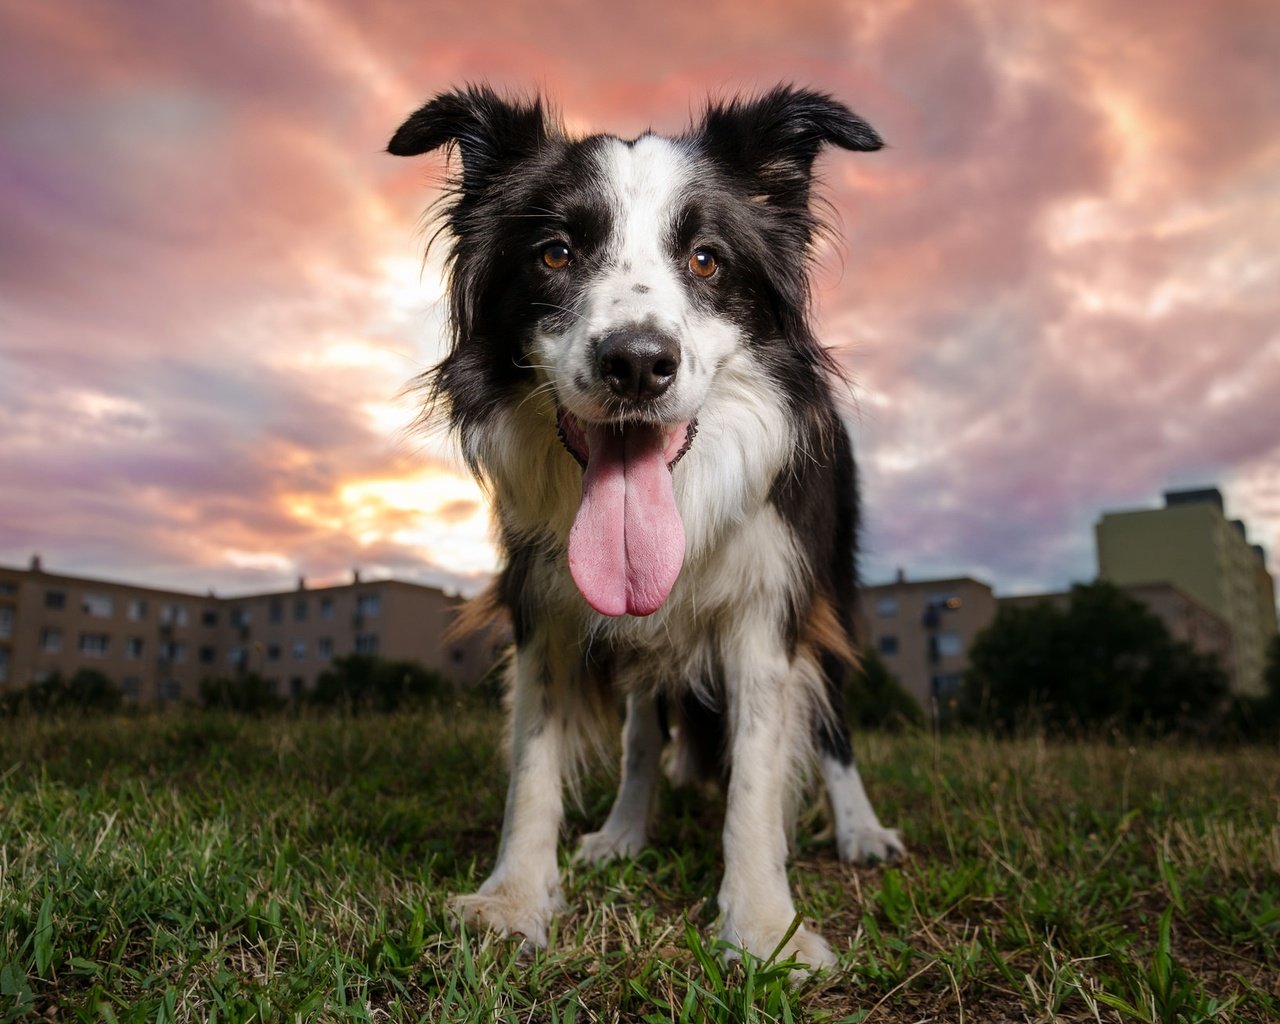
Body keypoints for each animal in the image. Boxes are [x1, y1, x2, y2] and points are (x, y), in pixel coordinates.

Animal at [389, 85, 901, 967]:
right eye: (556, 254)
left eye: (706, 260)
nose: (635, 363)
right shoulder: (545, 600)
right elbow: (534, 761)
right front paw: (514, 899)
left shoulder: (769, 600)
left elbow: (756, 773)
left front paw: (763, 927)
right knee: (639, 733)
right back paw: (625, 830)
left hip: (832, 581)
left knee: (831, 718)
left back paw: (860, 831)